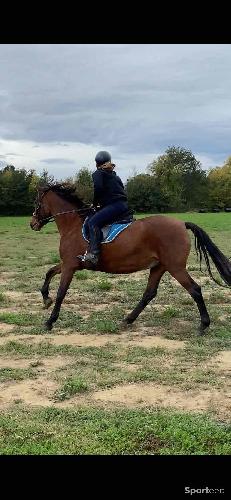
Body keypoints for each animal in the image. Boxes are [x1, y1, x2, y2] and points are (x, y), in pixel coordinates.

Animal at [29, 183, 231, 332]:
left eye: (37, 202)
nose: (32, 224)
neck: (73, 225)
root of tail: (182, 223)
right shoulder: (69, 263)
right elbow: (49, 272)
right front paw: (46, 300)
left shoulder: (70, 266)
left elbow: (61, 292)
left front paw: (50, 321)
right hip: (159, 266)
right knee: (149, 293)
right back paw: (128, 319)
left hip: (175, 267)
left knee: (195, 289)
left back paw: (203, 325)